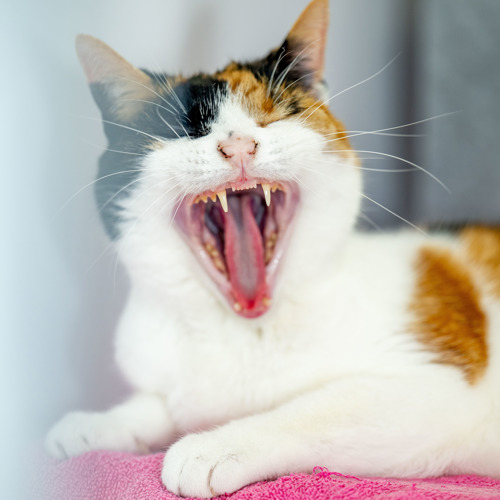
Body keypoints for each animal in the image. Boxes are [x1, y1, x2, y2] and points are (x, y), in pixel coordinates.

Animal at [45, 0, 500, 498]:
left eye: (275, 115)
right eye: (189, 129)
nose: (239, 145)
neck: (244, 334)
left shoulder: (435, 385)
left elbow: (308, 409)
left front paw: (212, 446)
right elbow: (163, 404)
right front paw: (97, 424)